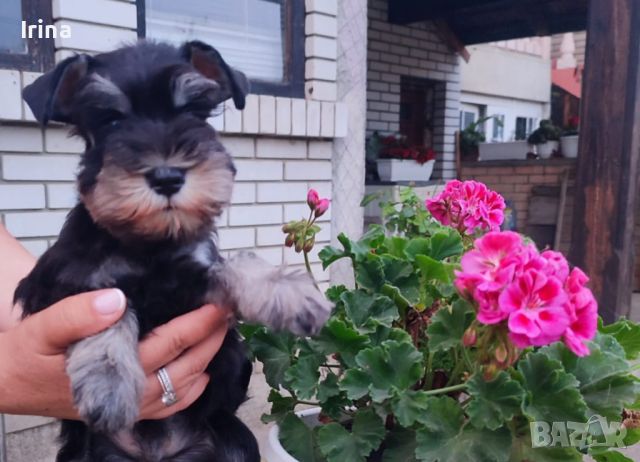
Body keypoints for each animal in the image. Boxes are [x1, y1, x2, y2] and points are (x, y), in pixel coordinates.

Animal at [16, 40, 330, 462]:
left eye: (193, 113)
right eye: (110, 121)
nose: (167, 177)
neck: (147, 242)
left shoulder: (193, 281)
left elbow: (235, 264)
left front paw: (290, 294)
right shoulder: (55, 289)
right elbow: (109, 309)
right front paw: (108, 382)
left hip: (236, 440)